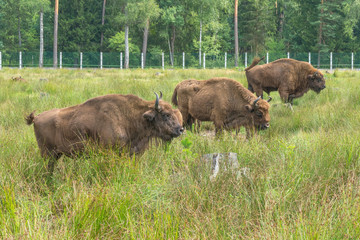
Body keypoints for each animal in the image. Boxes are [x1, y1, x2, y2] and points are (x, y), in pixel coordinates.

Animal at [26, 91, 183, 171]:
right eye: (166, 115)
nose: (180, 129)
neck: (131, 117)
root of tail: (37, 118)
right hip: (47, 154)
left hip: (55, 155)